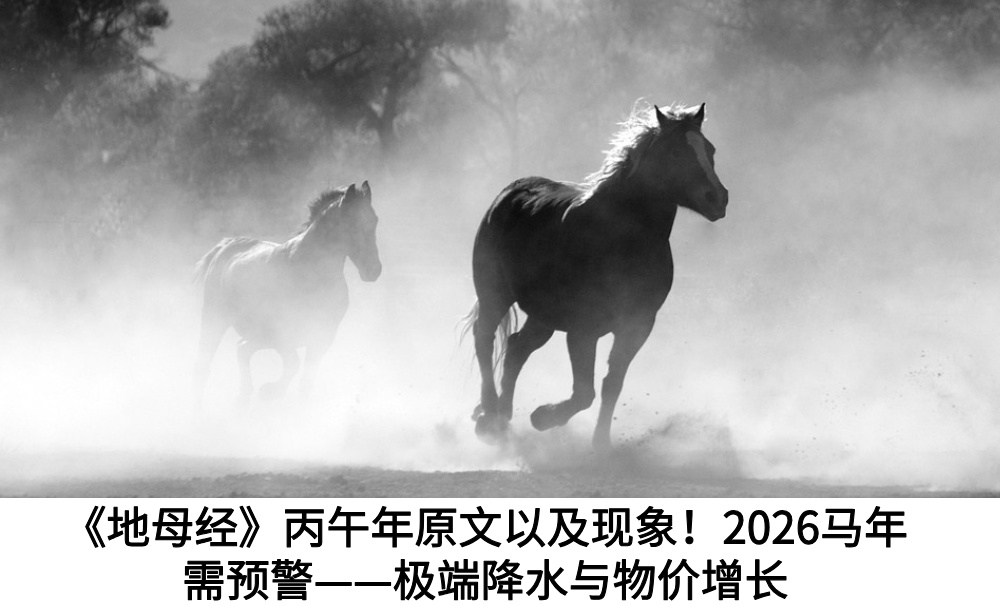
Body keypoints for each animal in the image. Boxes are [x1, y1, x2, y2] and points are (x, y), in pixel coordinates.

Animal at [193, 181, 381, 404]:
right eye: (351, 223)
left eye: (375, 220)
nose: (374, 270)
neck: (311, 273)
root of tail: (226, 246)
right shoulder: (283, 333)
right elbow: (293, 364)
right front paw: (270, 391)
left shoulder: (322, 338)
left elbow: (305, 382)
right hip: (215, 318)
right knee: (206, 364)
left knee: (242, 349)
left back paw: (244, 397)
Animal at [466, 103, 728, 450]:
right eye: (675, 152)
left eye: (709, 150)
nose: (718, 198)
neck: (621, 239)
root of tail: (509, 193)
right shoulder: (583, 329)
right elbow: (584, 393)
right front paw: (543, 417)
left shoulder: (637, 325)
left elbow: (611, 384)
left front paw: (600, 444)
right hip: (494, 295)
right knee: (484, 340)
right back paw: (489, 415)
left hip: (543, 316)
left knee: (516, 347)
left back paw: (503, 417)